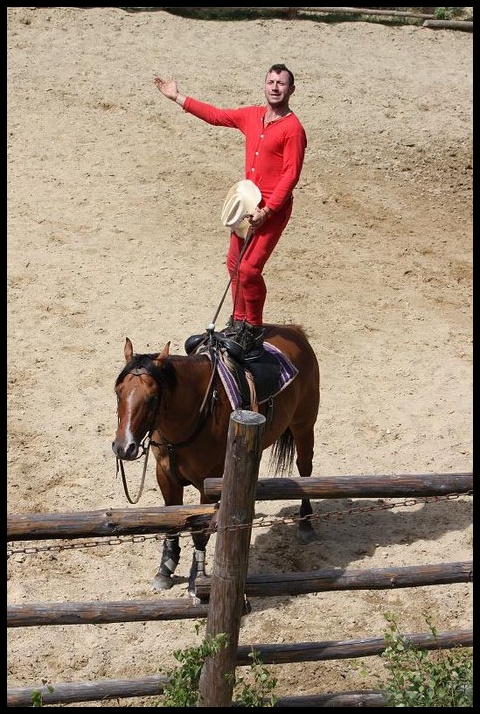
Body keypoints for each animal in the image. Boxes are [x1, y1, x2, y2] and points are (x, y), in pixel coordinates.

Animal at [112, 326, 320, 592]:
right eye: (118, 392)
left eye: (152, 397)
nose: (123, 447)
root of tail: (294, 331)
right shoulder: (165, 475)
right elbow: (172, 520)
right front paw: (165, 569)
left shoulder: (207, 483)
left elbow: (200, 531)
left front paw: (197, 576)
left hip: (303, 425)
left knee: (305, 468)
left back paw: (306, 523)